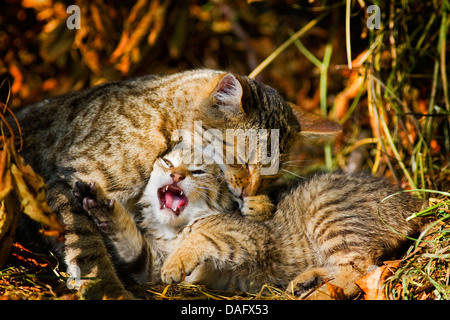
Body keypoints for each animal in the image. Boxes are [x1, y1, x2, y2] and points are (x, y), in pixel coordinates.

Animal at [12, 69, 340, 298]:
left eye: (273, 174)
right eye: (243, 160)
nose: (250, 190)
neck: (166, 124)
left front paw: (259, 205)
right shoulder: (67, 181)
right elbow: (86, 246)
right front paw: (107, 290)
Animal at [79, 165, 428, 300]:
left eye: (198, 170)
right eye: (165, 162)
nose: (176, 175)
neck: (174, 230)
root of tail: (412, 201)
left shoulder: (252, 239)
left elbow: (202, 237)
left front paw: (178, 261)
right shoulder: (149, 260)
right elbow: (131, 244)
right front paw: (99, 204)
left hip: (330, 214)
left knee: (361, 269)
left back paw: (317, 292)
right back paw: (306, 281)